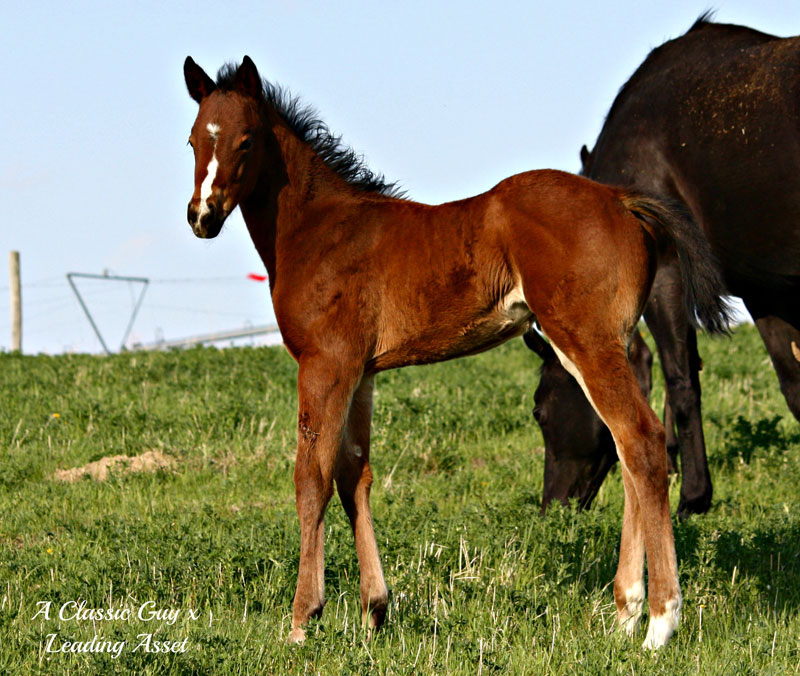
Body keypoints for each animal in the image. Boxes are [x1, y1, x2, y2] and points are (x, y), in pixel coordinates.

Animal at [183, 55, 732, 648]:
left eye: (246, 140)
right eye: (192, 140)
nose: (203, 216)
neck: (320, 229)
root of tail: (619, 198)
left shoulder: (324, 364)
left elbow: (313, 478)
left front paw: (303, 620)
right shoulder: (361, 371)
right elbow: (356, 474)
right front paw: (375, 611)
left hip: (584, 338)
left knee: (643, 441)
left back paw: (659, 623)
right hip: (600, 344)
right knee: (626, 447)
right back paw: (624, 613)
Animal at [532, 17, 800, 516]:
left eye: (539, 410)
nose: (550, 508)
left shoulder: (668, 278)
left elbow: (681, 381)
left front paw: (693, 497)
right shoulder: (767, 292)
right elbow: (794, 386)